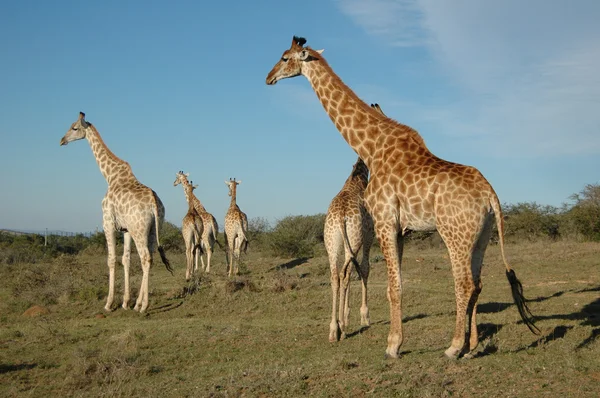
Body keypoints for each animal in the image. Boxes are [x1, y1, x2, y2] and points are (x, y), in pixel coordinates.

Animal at [59, 112, 172, 314]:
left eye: (74, 127)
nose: (62, 140)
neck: (110, 176)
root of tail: (154, 203)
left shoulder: (108, 223)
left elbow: (111, 259)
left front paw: (109, 303)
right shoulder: (126, 229)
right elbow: (126, 259)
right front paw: (126, 302)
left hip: (139, 230)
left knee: (145, 258)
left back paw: (144, 306)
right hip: (153, 229)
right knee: (149, 257)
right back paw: (138, 304)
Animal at [268, 37, 540, 360]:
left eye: (285, 58)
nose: (268, 77)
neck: (372, 148)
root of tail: (491, 195)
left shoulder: (384, 222)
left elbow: (392, 286)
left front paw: (393, 346)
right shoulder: (401, 230)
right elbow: (397, 285)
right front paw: (393, 340)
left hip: (454, 234)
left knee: (463, 284)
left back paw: (453, 347)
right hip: (483, 235)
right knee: (478, 283)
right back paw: (472, 346)